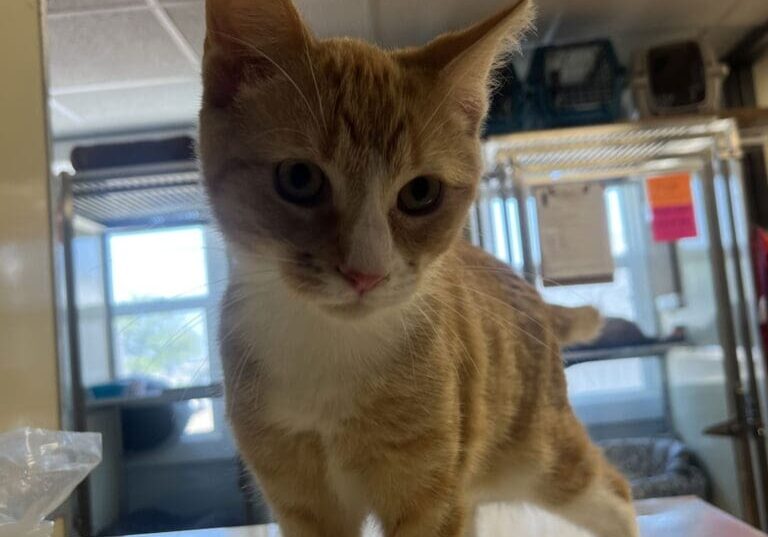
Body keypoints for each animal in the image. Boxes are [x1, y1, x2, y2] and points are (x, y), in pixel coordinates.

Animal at [198, 1, 636, 536]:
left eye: (421, 192)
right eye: (298, 178)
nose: (365, 272)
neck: (330, 349)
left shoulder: (432, 490)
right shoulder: (298, 493)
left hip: (536, 452)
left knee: (613, 490)